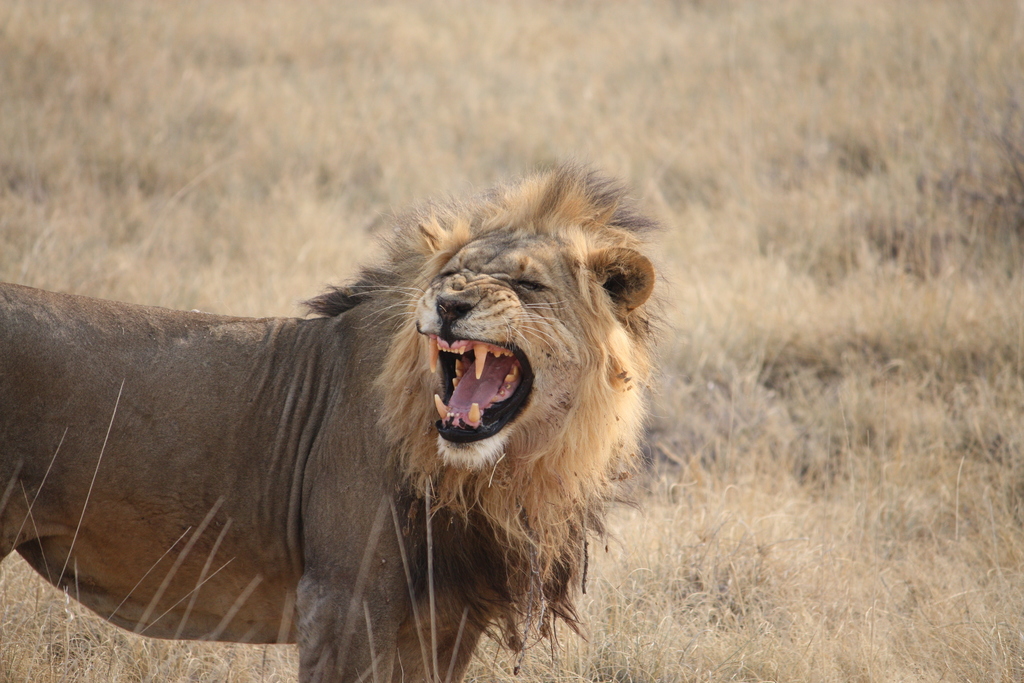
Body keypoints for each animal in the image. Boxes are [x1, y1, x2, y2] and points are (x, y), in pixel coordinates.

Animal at [0, 165, 659, 682]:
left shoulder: (445, 622)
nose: (449, 304)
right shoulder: (343, 599)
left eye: (526, 283)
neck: (493, 475)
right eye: (450, 277)